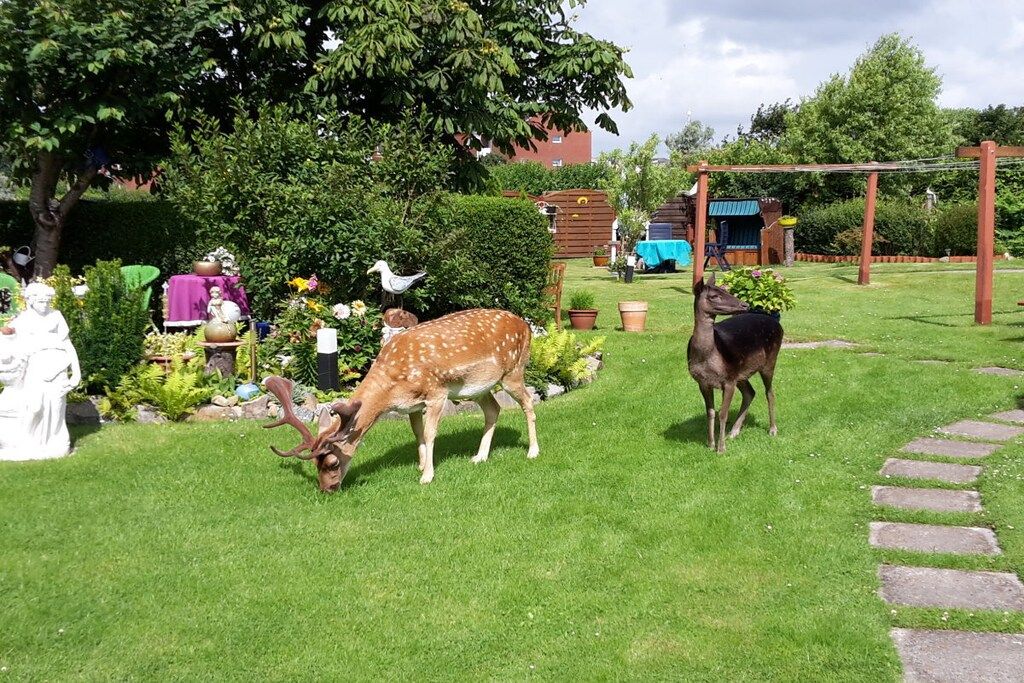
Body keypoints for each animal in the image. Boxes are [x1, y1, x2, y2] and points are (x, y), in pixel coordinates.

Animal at [262, 308, 539, 492]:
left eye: (332, 462)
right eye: (315, 465)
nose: (327, 490)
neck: (391, 391)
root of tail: (526, 327)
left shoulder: (436, 392)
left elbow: (429, 432)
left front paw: (427, 476)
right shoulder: (411, 405)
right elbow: (417, 433)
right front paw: (421, 465)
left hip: (513, 372)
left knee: (527, 402)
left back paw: (533, 451)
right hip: (480, 387)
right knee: (493, 409)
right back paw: (479, 457)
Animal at [687, 272, 783, 453]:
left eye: (725, 290)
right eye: (714, 295)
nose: (745, 304)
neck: (706, 357)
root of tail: (778, 325)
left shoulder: (728, 380)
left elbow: (723, 413)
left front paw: (720, 449)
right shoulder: (703, 382)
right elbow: (710, 412)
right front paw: (710, 444)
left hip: (769, 360)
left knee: (769, 392)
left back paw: (773, 429)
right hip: (740, 371)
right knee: (750, 392)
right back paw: (734, 431)